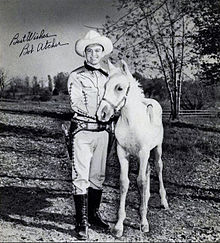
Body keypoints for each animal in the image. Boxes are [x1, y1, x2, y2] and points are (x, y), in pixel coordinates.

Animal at [96, 60, 168, 237]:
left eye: (119, 88)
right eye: (105, 85)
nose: (102, 114)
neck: (131, 122)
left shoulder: (143, 153)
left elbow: (140, 182)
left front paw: (144, 222)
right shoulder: (122, 153)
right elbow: (124, 183)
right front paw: (119, 225)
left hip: (157, 149)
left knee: (158, 168)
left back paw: (163, 201)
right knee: (148, 171)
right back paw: (147, 197)